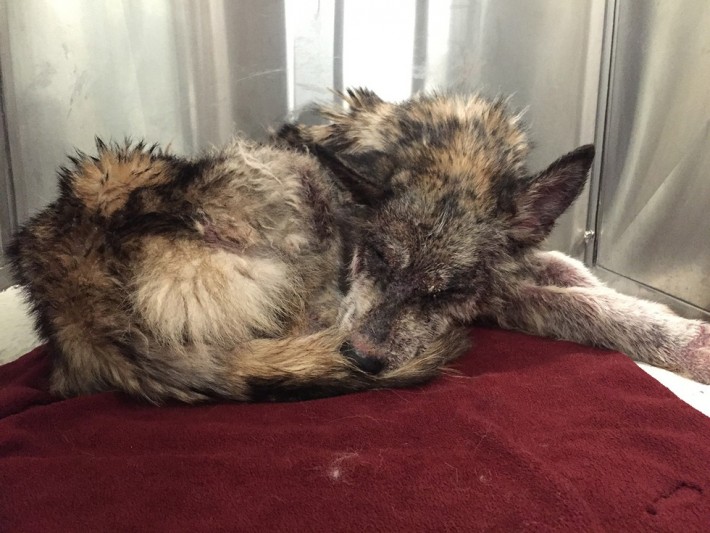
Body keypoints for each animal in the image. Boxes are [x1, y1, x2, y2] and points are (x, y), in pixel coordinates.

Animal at [9, 89, 710, 403]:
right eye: (371, 256)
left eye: (445, 289)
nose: (365, 360)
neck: (450, 146)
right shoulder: (491, 299)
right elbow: (572, 304)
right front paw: (684, 342)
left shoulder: (498, 268)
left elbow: (564, 265)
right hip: (289, 203)